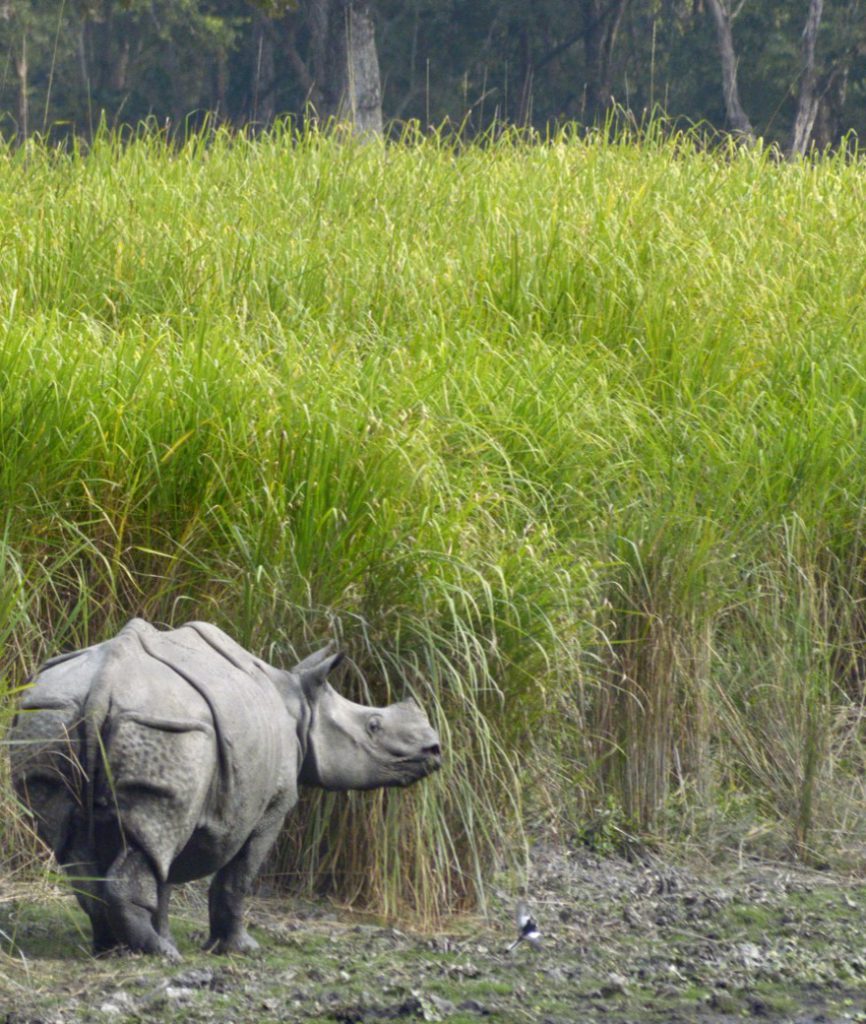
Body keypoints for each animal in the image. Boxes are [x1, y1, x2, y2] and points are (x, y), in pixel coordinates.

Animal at [9, 619, 442, 959]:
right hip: (168, 729)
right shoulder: (273, 806)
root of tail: (103, 685)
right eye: (373, 726)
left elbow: (163, 877)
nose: (434, 749)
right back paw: (160, 955)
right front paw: (239, 949)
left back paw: (114, 949)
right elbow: (237, 877)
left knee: (81, 843)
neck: (301, 707)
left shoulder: (188, 794)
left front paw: (168, 935)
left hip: (51, 716)